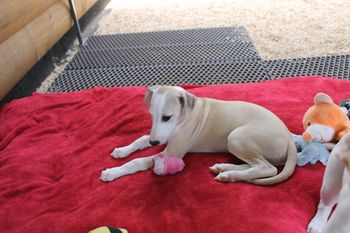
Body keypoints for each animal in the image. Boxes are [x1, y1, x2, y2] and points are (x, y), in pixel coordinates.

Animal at [100, 86, 296, 186]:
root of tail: (289, 137)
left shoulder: (172, 152)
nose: (154, 142)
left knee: (268, 168)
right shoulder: (161, 135)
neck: (185, 113)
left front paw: (112, 172)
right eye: (152, 115)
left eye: (167, 117)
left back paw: (230, 175)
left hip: (236, 137)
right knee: (257, 165)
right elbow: (140, 139)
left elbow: (138, 161)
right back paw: (224, 168)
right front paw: (122, 150)